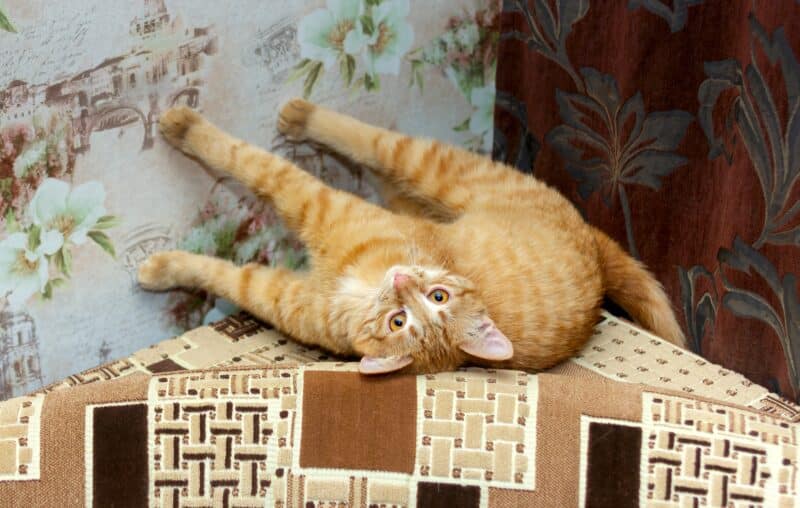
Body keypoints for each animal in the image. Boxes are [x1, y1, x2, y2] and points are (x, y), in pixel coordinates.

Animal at [139, 98, 688, 374]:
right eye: (437, 296)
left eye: (401, 322)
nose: (402, 282)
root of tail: (592, 242)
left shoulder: (300, 232)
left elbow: (251, 167)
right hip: (434, 191)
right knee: (388, 177)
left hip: (437, 167)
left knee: (378, 144)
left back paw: (302, 115)